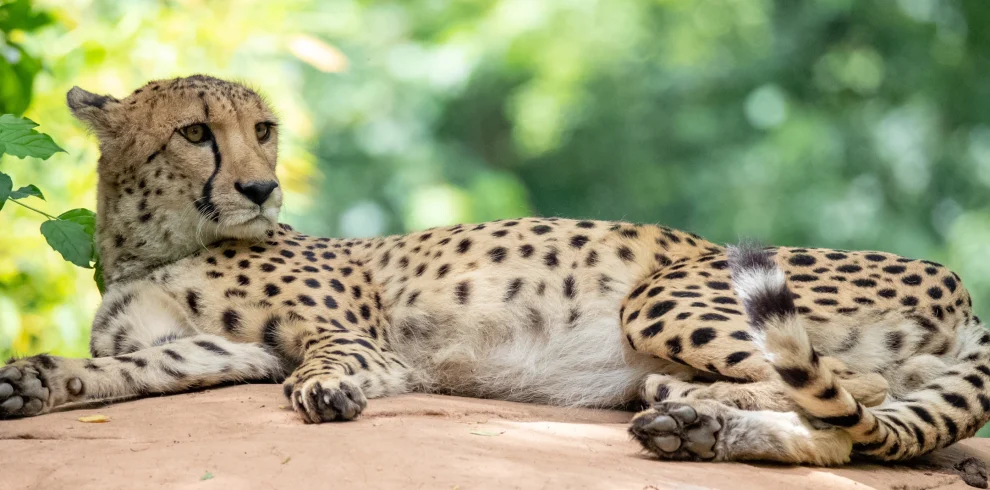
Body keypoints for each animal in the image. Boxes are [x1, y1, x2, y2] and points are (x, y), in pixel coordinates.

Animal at [2, 75, 989, 473]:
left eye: (265, 130)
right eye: (196, 132)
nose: (260, 186)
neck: (160, 242)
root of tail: (958, 283)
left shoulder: (357, 337)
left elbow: (332, 361)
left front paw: (326, 392)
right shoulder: (215, 352)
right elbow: (123, 370)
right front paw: (33, 382)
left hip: (663, 291)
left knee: (857, 399)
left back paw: (690, 408)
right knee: (860, 423)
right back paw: (692, 419)